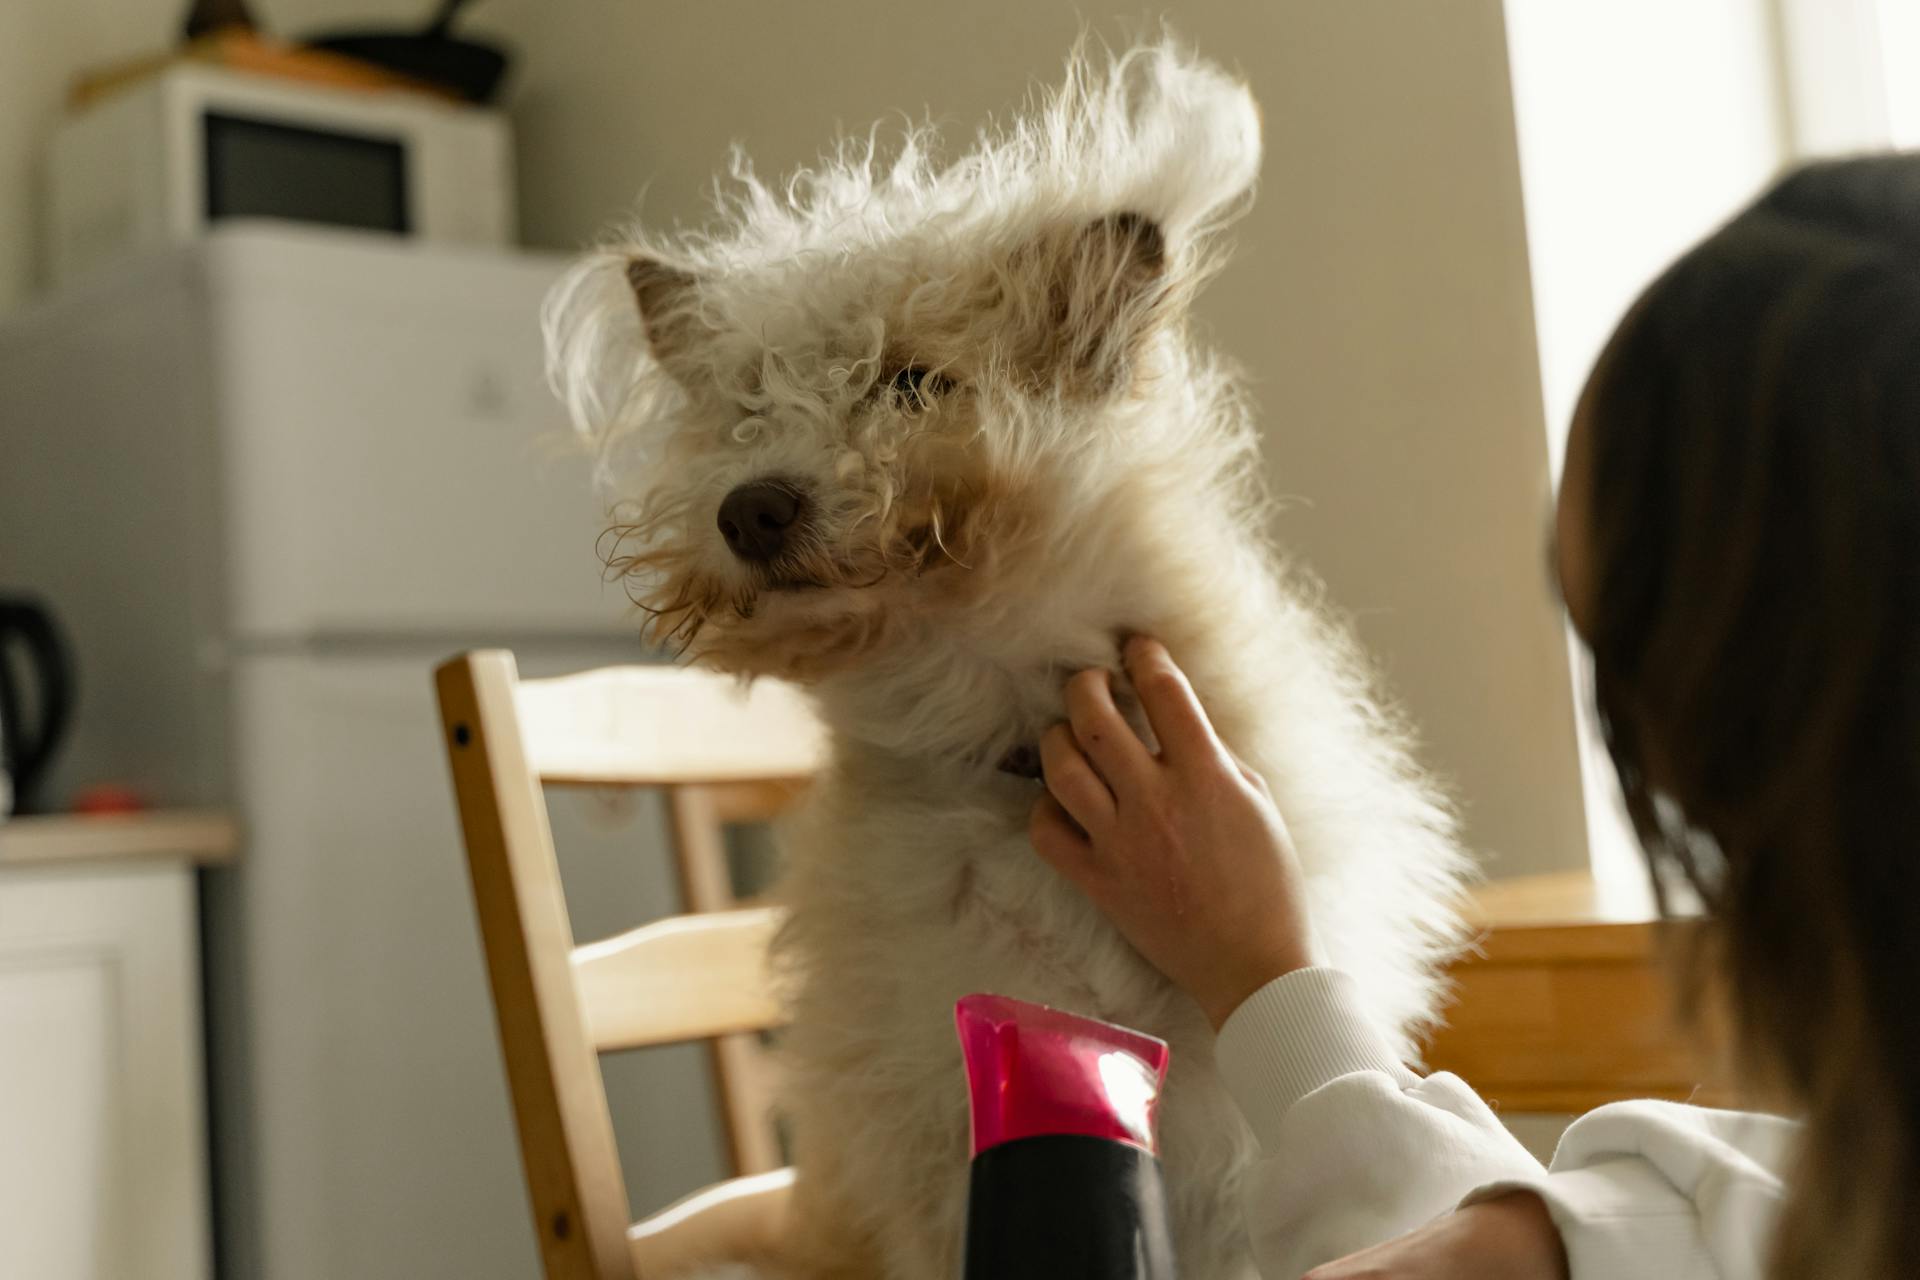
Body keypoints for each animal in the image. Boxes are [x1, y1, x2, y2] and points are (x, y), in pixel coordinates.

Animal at [545, 40, 1466, 1280]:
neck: (1008, 735)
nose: (750, 509)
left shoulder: (1225, 1163)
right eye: (744, 410)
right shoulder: (939, 1149)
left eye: (912, 382)